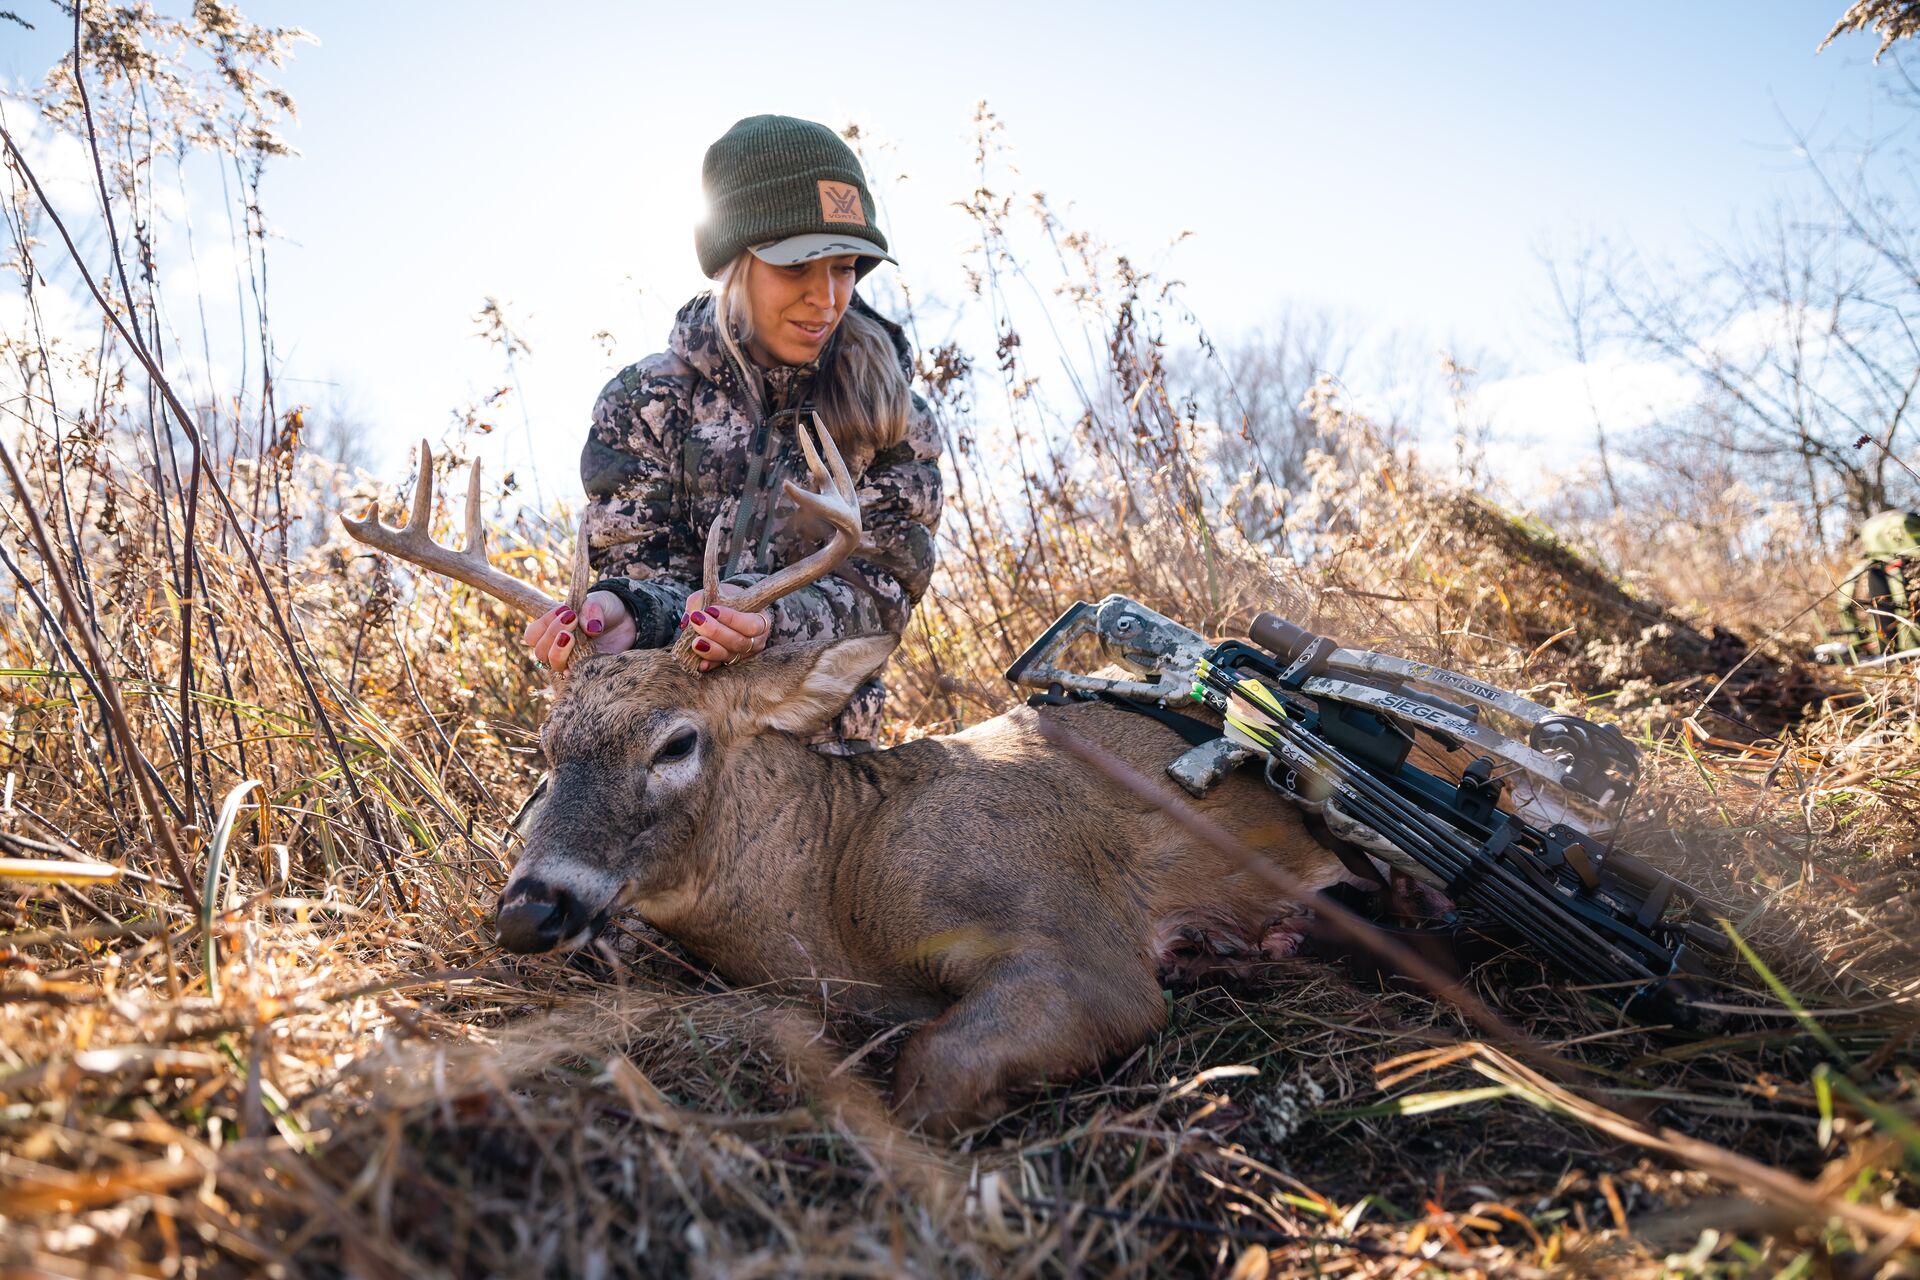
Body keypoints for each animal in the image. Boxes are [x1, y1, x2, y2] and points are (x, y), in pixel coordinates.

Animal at [342, 425, 1407, 1133]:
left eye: (677, 743)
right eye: (546, 744)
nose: (528, 911)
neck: (840, 884)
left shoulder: (1078, 941)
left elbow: (931, 1073)